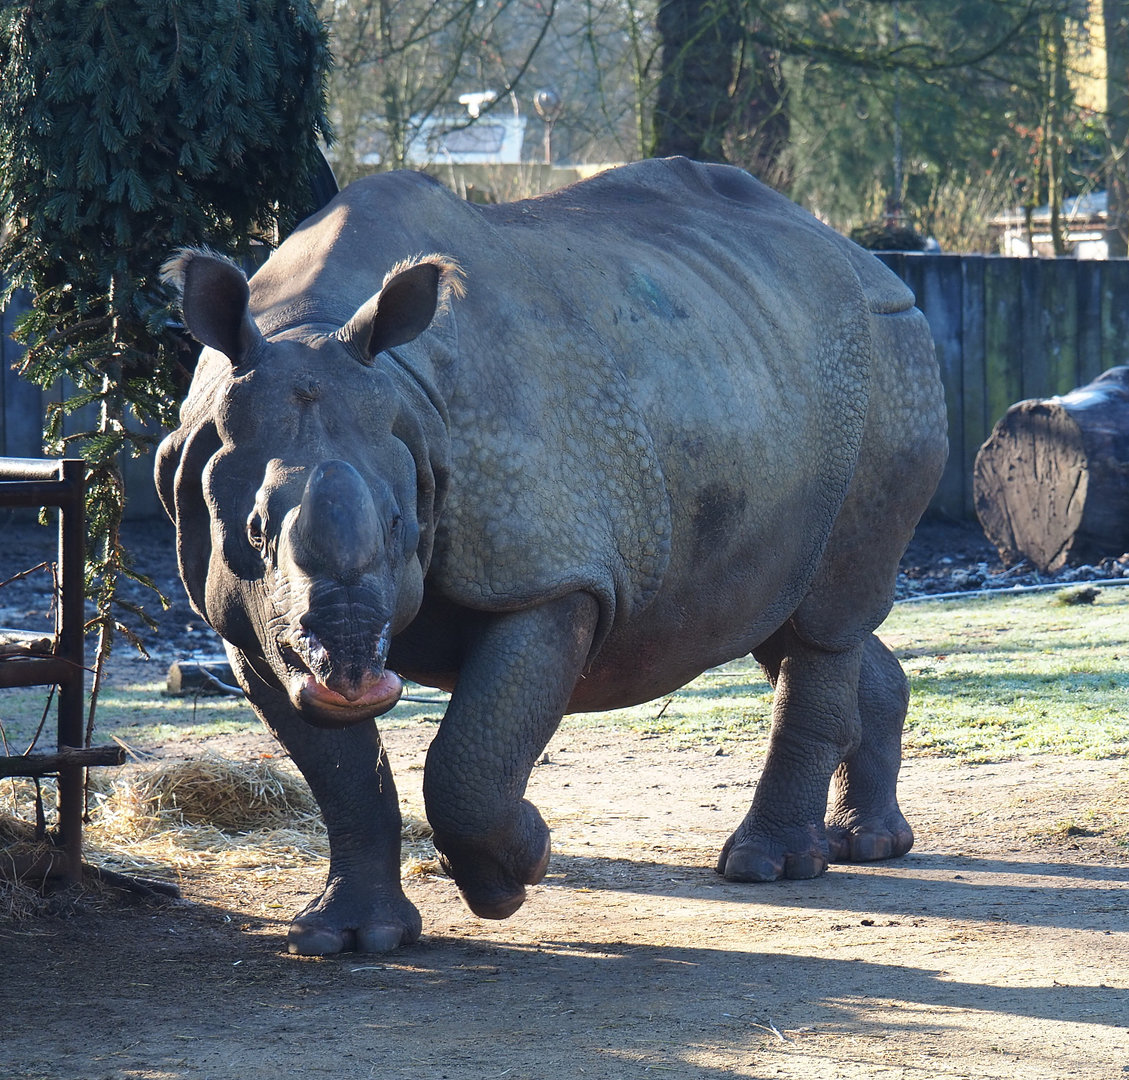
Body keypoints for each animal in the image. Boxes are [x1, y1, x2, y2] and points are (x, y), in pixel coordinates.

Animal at [157, 157, 947, 955]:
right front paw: (347, 939)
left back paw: (767, 867)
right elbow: (341, 774)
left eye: (400, 524)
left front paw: (519, 867)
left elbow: (469, 762)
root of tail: (864, 257)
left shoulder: (549, 571)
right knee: (785, 613)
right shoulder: (243, 622)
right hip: (761, 367)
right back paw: (867, 844)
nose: (347, 676)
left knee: (825, 616)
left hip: (889, 361)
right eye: (254, 532)